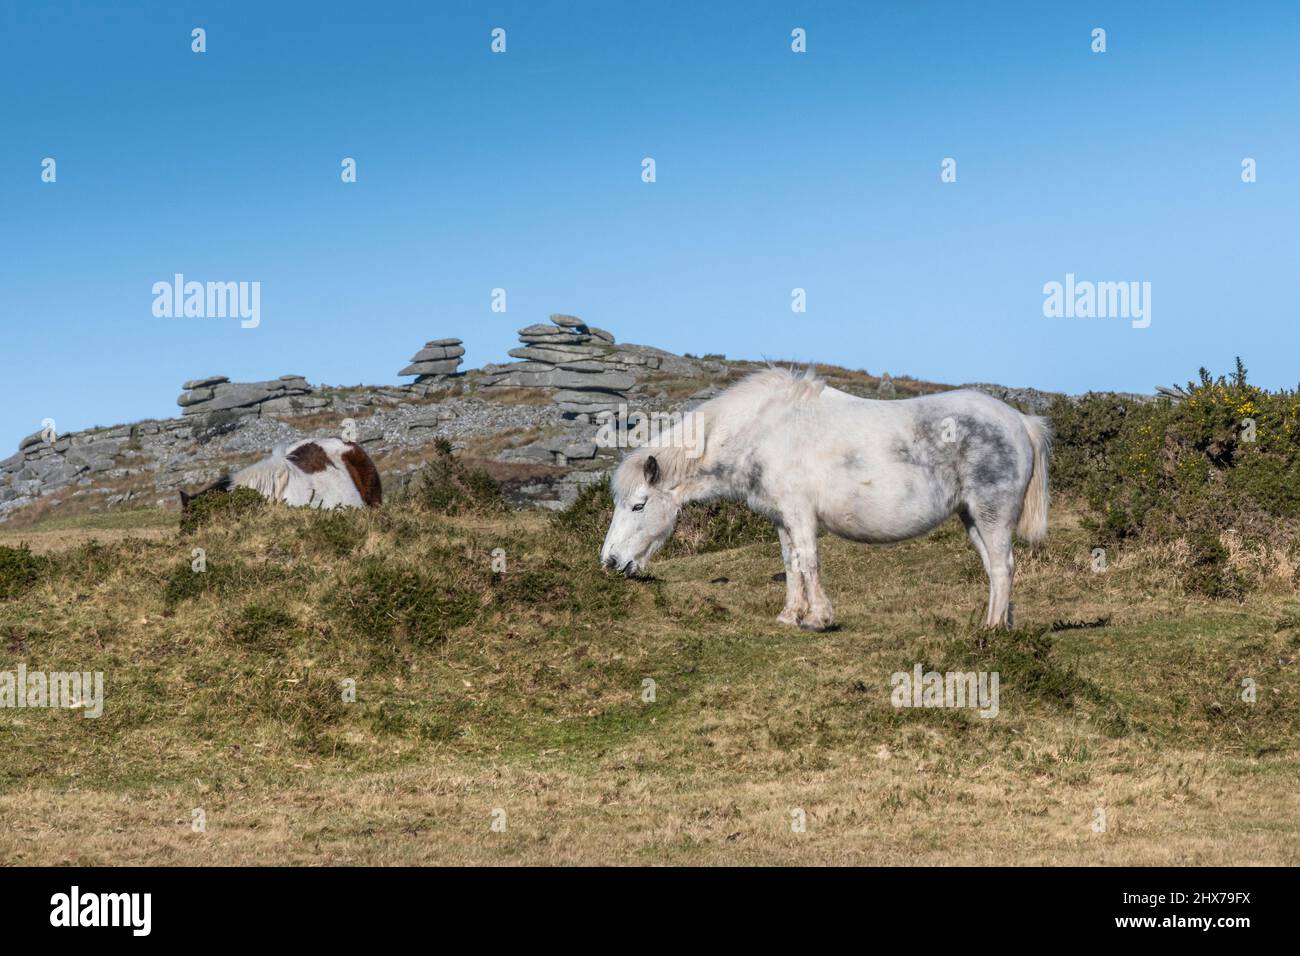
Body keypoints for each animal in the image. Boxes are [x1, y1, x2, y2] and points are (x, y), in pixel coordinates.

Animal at [603, 369, 1050, 632]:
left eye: (638, 505)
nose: (609, 561)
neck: (763, 430)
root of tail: (1019, 420)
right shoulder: (782, 519)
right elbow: (791, 564)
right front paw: (790, 615)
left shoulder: (801, 515)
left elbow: (810, 561)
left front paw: (818, 618)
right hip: (972, 518)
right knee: (994, 569)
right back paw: (999, 625)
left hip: (991, 516)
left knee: (1003, 567)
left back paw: (991, 630)